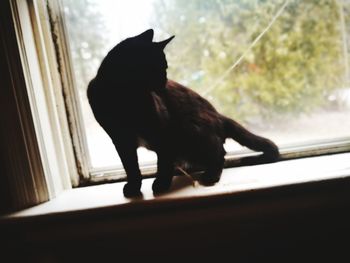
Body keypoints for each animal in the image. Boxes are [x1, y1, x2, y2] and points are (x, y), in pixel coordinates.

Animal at [87, 29, 278, 198]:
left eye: (165, 67)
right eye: (159, 67)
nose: (164, 81)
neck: (124, 99)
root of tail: (218, 115)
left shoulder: (162, 131)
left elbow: (163, 162)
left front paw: (161, 184)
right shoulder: (121, 140)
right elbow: (131, 167)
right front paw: (134, 187)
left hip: (191, 128)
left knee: (220, 152)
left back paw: (210, 175)